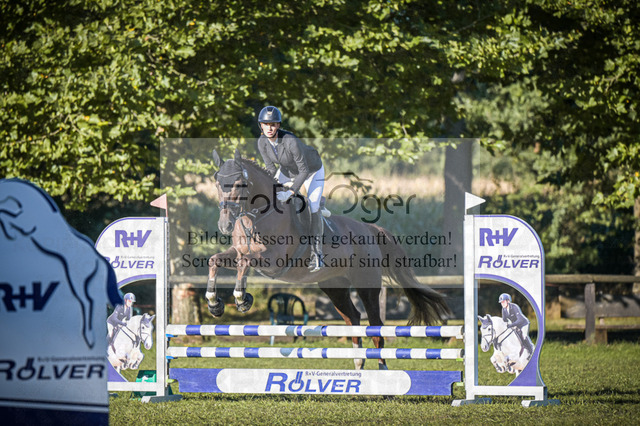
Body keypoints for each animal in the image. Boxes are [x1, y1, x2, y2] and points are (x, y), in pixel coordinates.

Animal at [206, 149, 451, 370]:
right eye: (217, 184)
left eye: (239, 184)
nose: (225, 225)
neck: (256, 216)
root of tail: (370, 230)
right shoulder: (238, 252)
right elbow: (215, 260)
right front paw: (215, 304)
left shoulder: (274, 260)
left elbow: (245, 263)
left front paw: (241, 299)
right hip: (334, 287)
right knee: (353, 318)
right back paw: (358, 367)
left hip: (366, 286)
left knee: (376, 329)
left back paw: (381, 372)